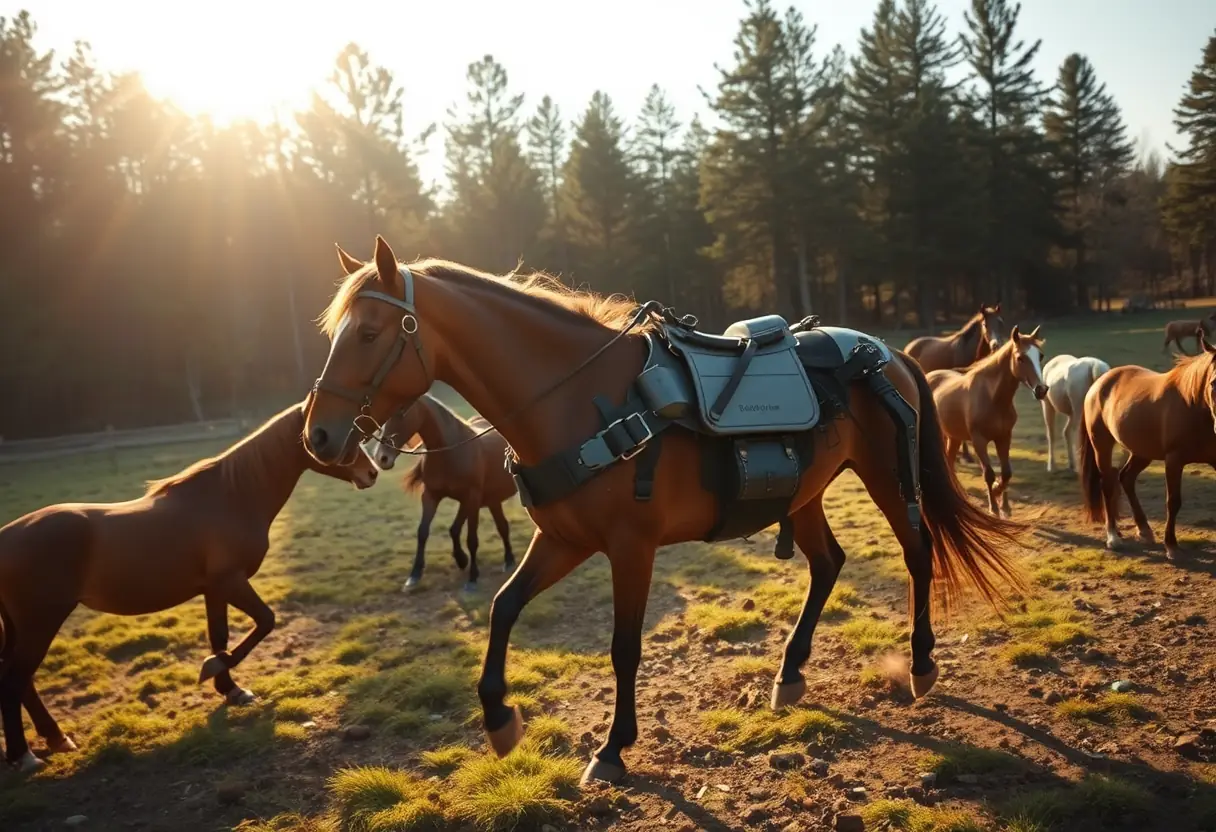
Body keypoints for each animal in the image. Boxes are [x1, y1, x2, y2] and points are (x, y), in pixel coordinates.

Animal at [0, 401, 379, 772]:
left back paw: (56, 739)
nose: (372, 472)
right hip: (41, 620)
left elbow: (220, 636)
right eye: (335, 436)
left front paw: (231, 688)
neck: (232, 496)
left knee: (21, 678)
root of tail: (6, 537)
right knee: (15, 678)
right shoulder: (231, 581)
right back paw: (24, 756)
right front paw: (213, 670)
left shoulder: (214, 589)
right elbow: (265, 621)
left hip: (23, 626)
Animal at [361, 393, 519, 592]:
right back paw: (508, 560)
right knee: (502, 526)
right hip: (491, 500)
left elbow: (471, 538)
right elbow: (425, 532)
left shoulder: (472, 498)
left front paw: (472, 578)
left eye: (401, 412)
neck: (451, 452)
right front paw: (415, 575)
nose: (381, 458)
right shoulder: (432, 496)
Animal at [927, 327, 1049, 518]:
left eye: (1040, 356)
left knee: (950, 461)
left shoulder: (1004, 438)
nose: (1041, 390)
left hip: (954, 437)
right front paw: (994, 508)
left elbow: (1006, 472)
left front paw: (1004, 504)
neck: (992, 397)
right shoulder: (979, 441)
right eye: (1020, 358)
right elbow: (989, 474)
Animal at [1078, 335, 1216, 560]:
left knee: (1126, 478)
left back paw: (1144, 529)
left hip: (1142, 452)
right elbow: (1173, 502)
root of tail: (1099, 382)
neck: (1193, 405)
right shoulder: (1174, 461)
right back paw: (1113, 536)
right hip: (1102, 446)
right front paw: (1171, 546)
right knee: (1107, 483)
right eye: (1213, 383)